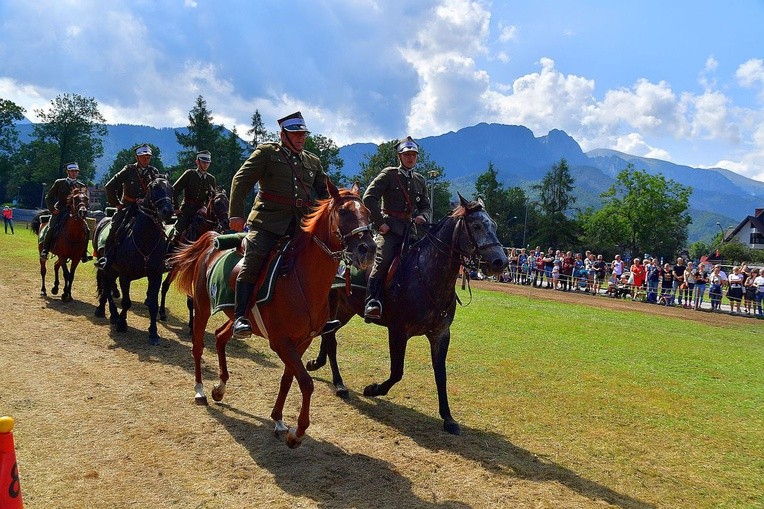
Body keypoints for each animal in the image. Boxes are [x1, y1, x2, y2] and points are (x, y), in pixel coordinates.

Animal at [92, 176, 175, 346]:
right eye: (154, 187)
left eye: (171, 189)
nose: (168, 211)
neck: (145, 239)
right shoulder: (125, 276)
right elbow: (126, 302)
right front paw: (122, 324)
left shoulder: (155, 276)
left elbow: (153, 304)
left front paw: (153, 333)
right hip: (107, 267)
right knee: (106, 286)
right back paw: (109, 312)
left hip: (113, 270)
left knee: (108, 286)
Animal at [158, 189, 230, 324]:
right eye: (216, 203)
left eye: (227, 203)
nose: (226, 223)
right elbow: (190, 298)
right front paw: (192, 323)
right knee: (164, 285)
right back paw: (162, 312)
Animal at [172, 183, 378, 448]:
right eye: (343, 212)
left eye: (369, 214)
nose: (368, 249)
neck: (302, 279)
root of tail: (211, 242)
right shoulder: (281, 342)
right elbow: (306, 383)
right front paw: (296, 433)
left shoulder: (302, 342)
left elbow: (288, 379)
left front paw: (278, 419)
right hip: (202, 307)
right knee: (198, 346)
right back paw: (200, 390)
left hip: (238, 317)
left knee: (219, 336)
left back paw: (220, 387)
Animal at [304, 194, 508, 432]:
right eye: (476, 225)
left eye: (494, 225)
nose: (500, 262)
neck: (427, 274)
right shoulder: (398, 332)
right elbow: (397, 372)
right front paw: (373, 389)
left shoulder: (440, 335)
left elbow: (441, 375)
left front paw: (448, 418)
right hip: (332, 304)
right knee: (330, 340)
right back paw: (338, 383)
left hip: (345, 310)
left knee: (328, 336)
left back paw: (317, 364)